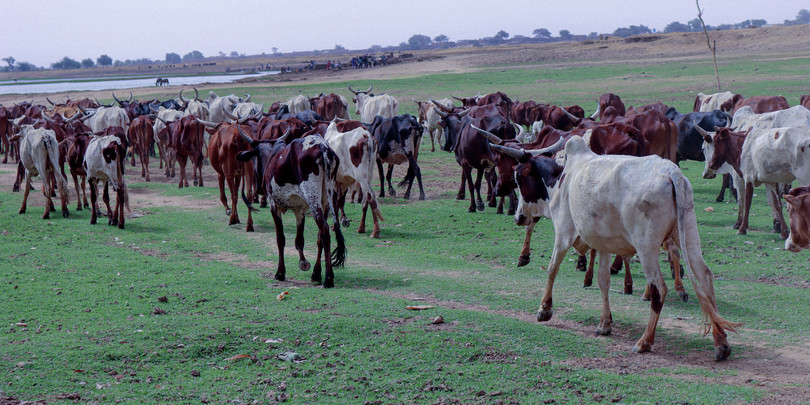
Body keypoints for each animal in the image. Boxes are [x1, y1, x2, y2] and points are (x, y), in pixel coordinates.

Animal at [235, 131, 346, 286]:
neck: (272, 156)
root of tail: (323, 147)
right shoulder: (300, 210)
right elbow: (299, 240)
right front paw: (303, 262)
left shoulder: (274, 205)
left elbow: (280, 239)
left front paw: (280, 273)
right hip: (326, 199)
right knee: (320, 236)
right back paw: (316, 273)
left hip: (313, 199)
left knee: (324, 230)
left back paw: (328, 278)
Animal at [516, 136, 736, 360]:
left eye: (519, 179)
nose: (519, 217)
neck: (563, 176)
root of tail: (671, 171)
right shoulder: (604, 245)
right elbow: (603, 281)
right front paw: (604, 324)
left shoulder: (563, 232)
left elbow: (552, 269)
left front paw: (544, 309)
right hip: (689, 235)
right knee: (705, 276)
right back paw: (721, 343)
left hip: (646, 247)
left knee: (659, 288)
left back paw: (645, 341)